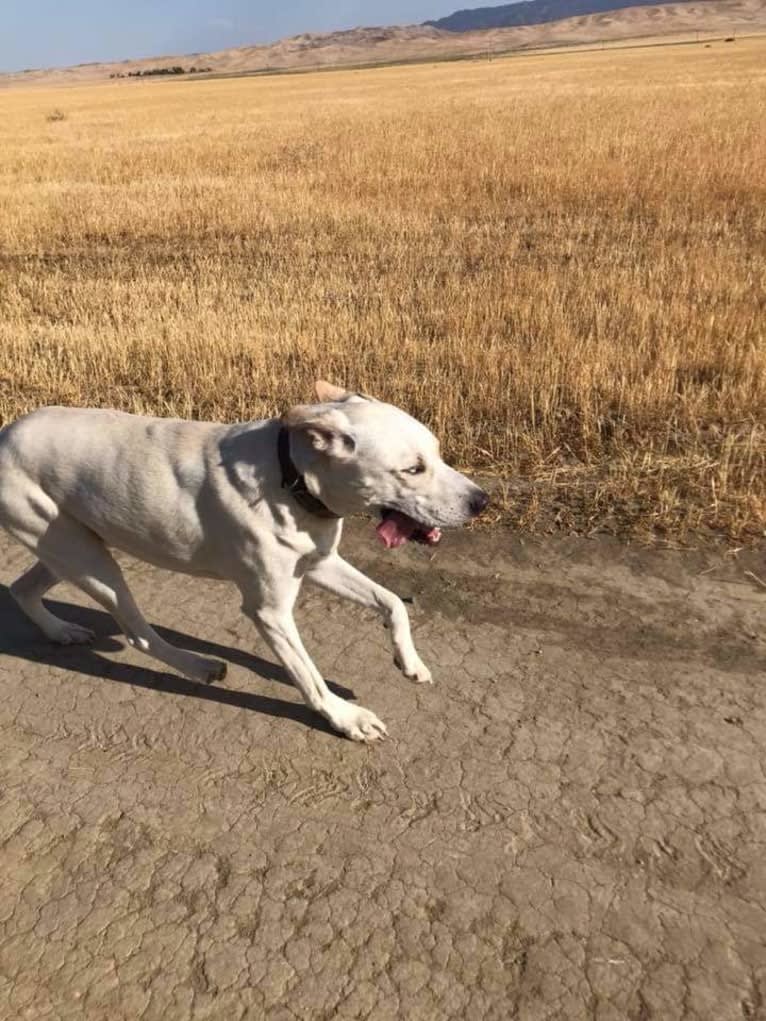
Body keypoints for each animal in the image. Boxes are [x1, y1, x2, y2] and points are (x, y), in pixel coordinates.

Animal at [0, 383, 488, 743]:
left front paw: (409, 661)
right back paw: (197, 665)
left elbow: (393, 603)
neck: (291, 478)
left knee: (22, 589)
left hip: (70, 546)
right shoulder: (270, 611)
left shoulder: (320, 563)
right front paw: (345, 717)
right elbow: (308, 676)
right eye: (412, 469)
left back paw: (61, 631)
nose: (481, 502)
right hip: (90, 561)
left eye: (437, 453)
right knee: (137, 633)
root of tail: (5, 433)